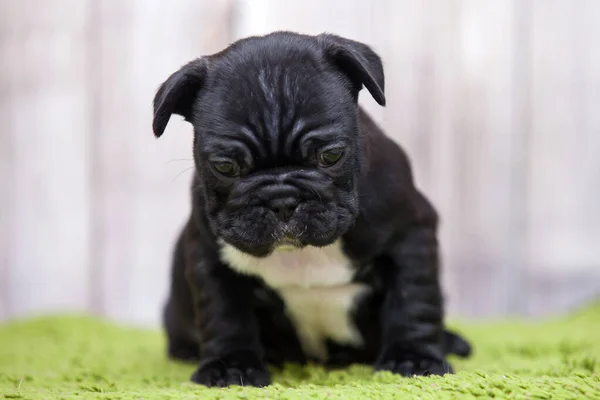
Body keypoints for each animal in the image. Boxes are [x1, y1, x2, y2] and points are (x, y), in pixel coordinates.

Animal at [152, 30, 472, 388]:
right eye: (225, 167)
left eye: (330, 156)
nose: (281, 200)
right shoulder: (209, 256)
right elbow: (224, 313)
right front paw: (229, 367)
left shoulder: (410, 234)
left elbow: (413, 300)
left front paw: (413, 359)